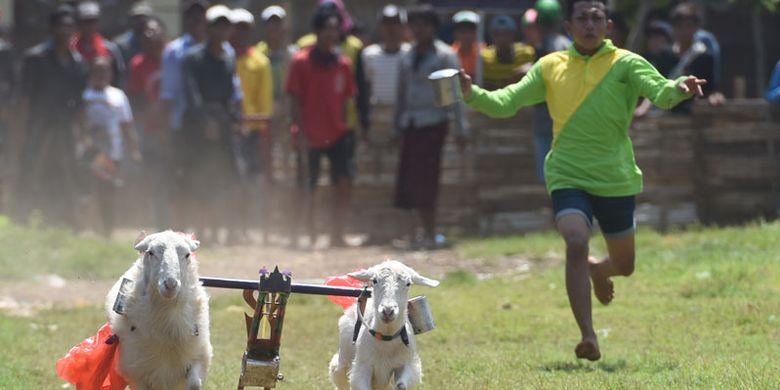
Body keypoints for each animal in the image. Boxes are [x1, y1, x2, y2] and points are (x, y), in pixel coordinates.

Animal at [106, 230, 213, 388]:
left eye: (187, 255)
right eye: (151, 252)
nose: (170, 284)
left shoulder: (199, 356)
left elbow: (194, 383)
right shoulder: (136, 373)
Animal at [330, 258, 438, 390]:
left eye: (408, 284)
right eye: (374, 280)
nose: (388, 311)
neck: (386, 338)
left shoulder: (407, 364)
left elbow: (401, 385)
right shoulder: (362, 367)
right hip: (344, 358)